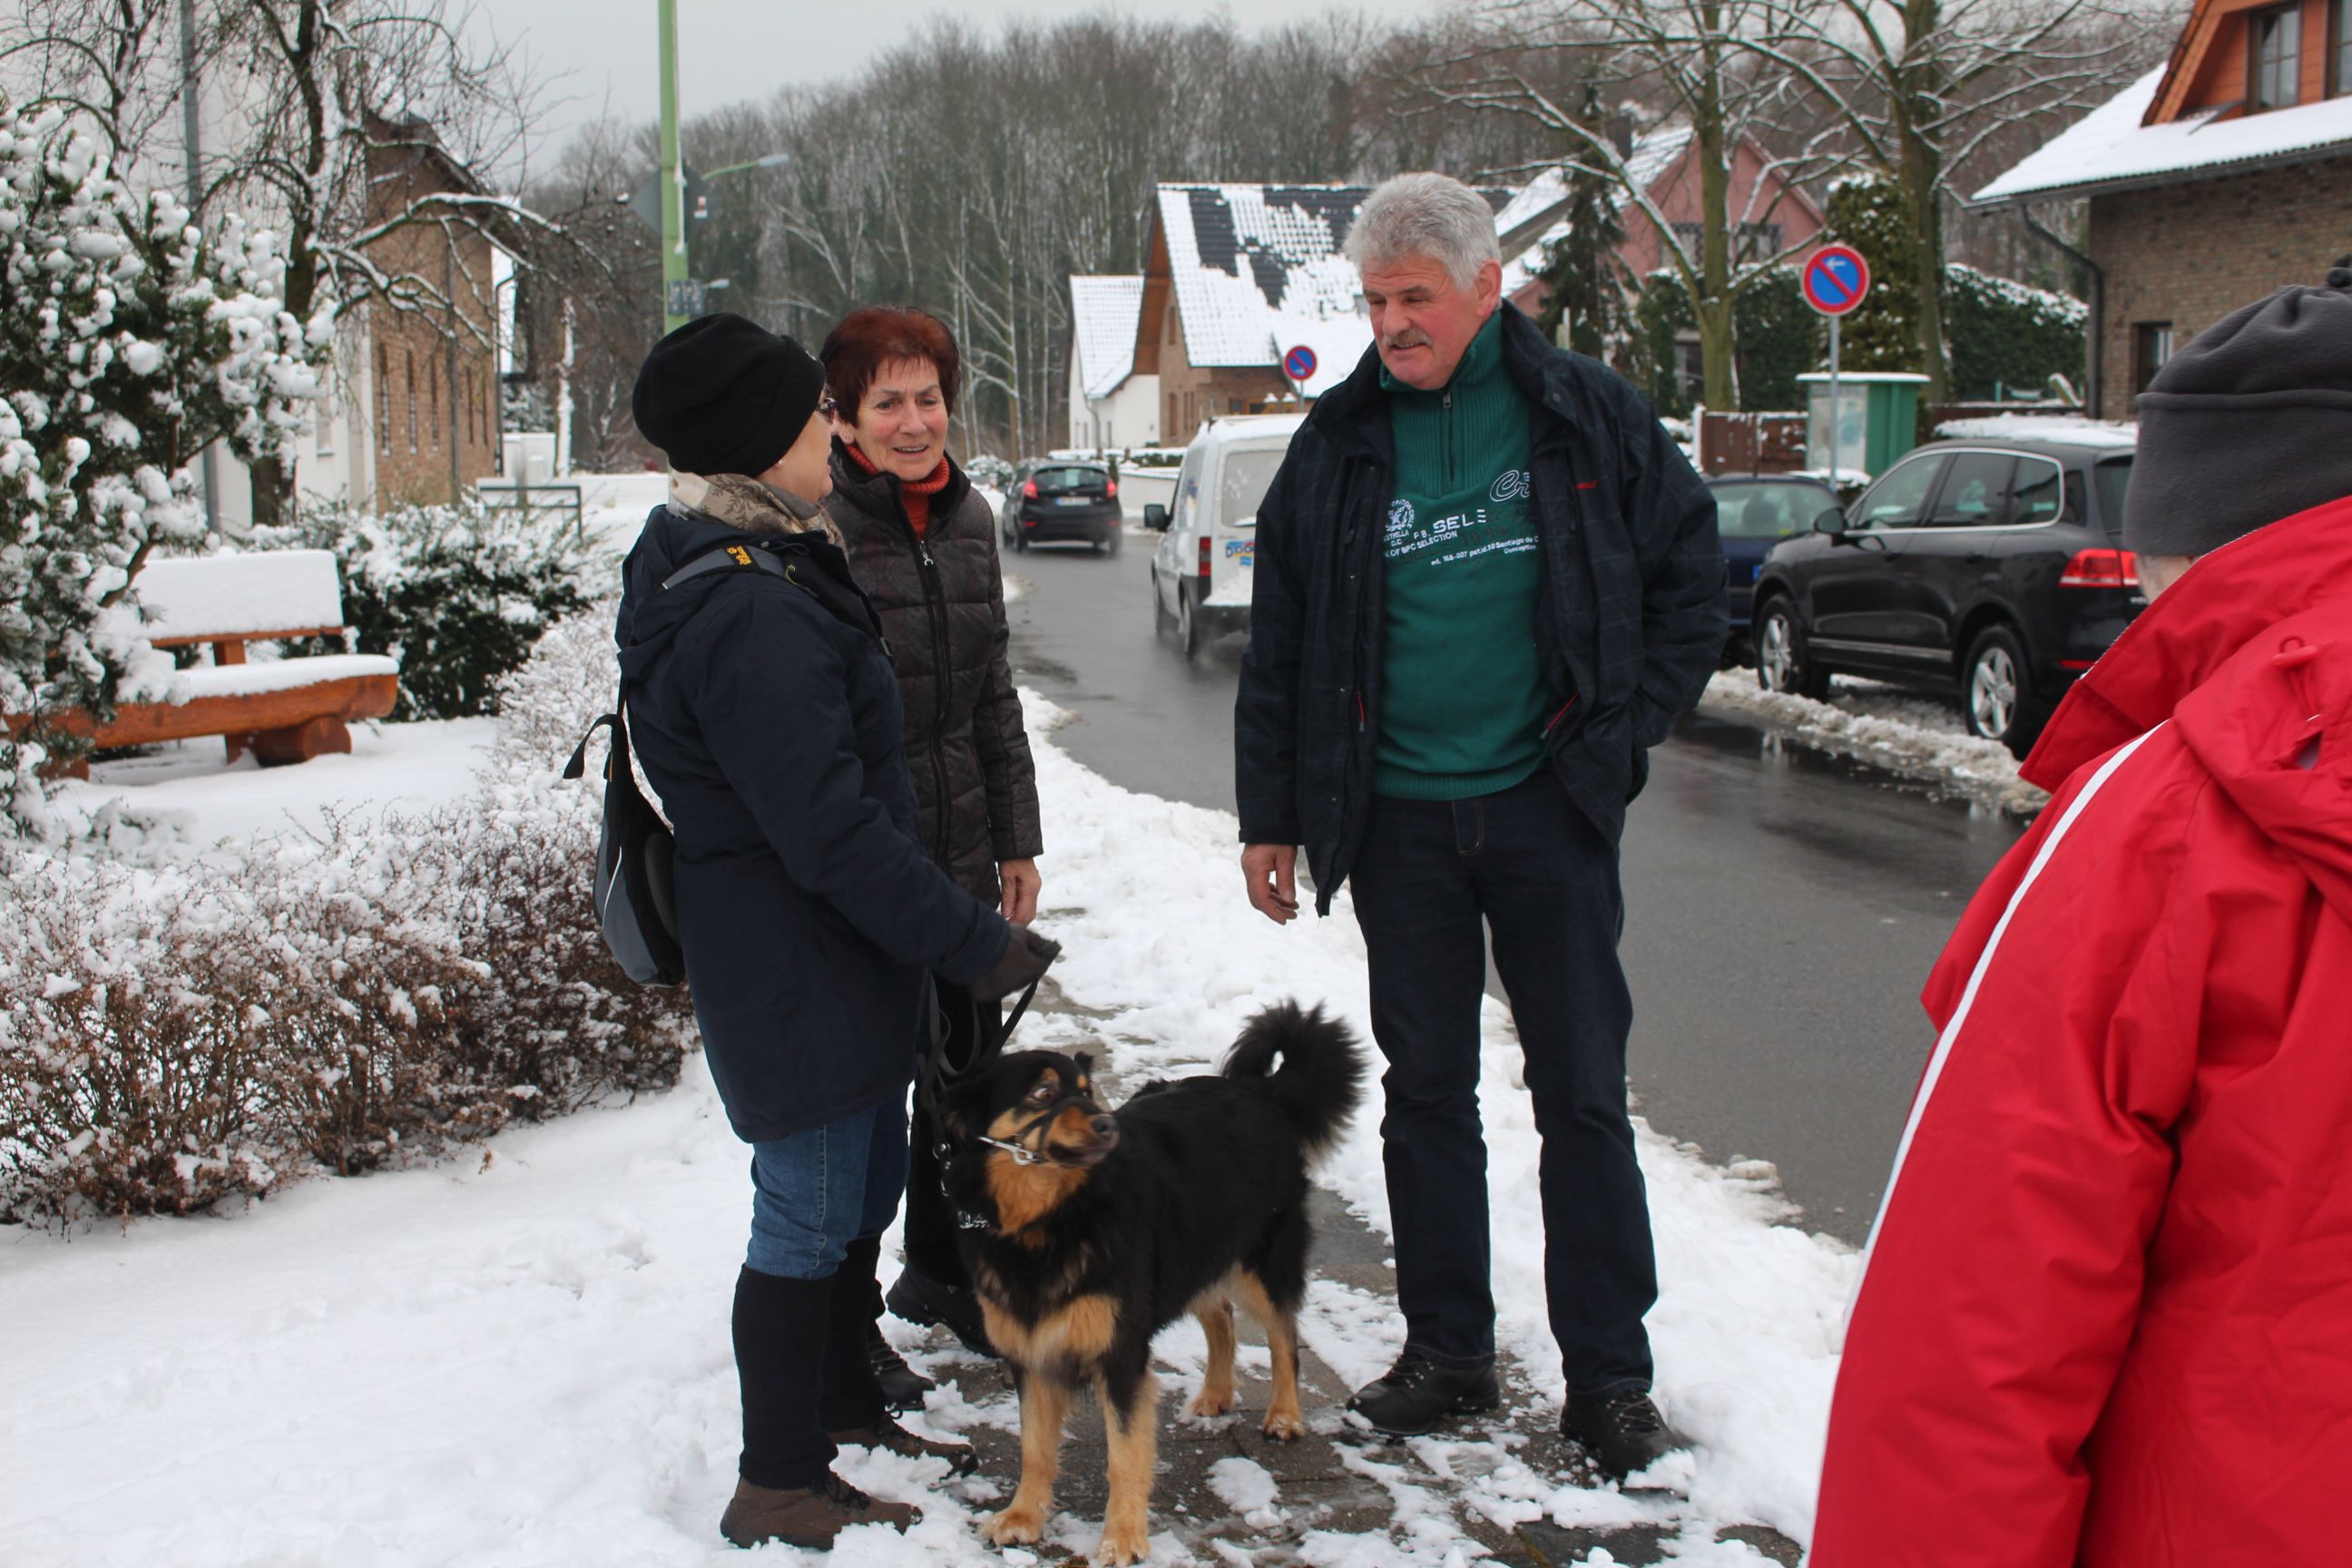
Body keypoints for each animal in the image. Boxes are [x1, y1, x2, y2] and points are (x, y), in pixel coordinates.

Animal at [938, 1001, 1365, 1565]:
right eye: (1043, 1094)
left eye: (1087, 1092)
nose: (1105, 1124)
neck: (1051, 1222)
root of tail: (1260, 1091)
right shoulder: (1031, 1351)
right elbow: (1034, 1446)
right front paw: (1023, 1518)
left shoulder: (1121, 1352)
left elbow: (1124, 1455)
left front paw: (1122, 1539)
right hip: (1193, 1254)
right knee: (1221, 1318)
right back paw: (1216, 1394)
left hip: (1259, 1261)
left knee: (1283, 1336)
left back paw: (1284, 1415)